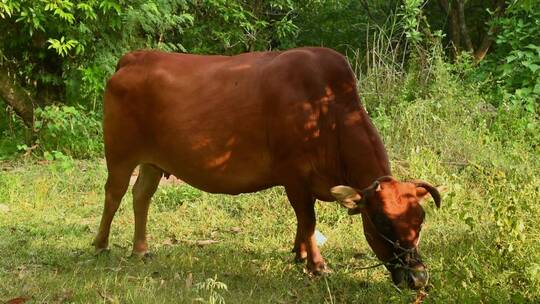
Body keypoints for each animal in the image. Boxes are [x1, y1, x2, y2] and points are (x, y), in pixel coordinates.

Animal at [93, 47, 438, 290]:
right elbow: (308, 219)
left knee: (142, 195)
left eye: (420, 221)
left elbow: (303, 222)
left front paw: (300, 254)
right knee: (114, 194)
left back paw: (141, 249)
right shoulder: (294, 175)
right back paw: (100, 245)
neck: (327, 111)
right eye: (382, 224)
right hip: (119, 154)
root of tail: (137, 57)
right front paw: (317, 265)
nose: (418, 279)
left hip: (153, 161)